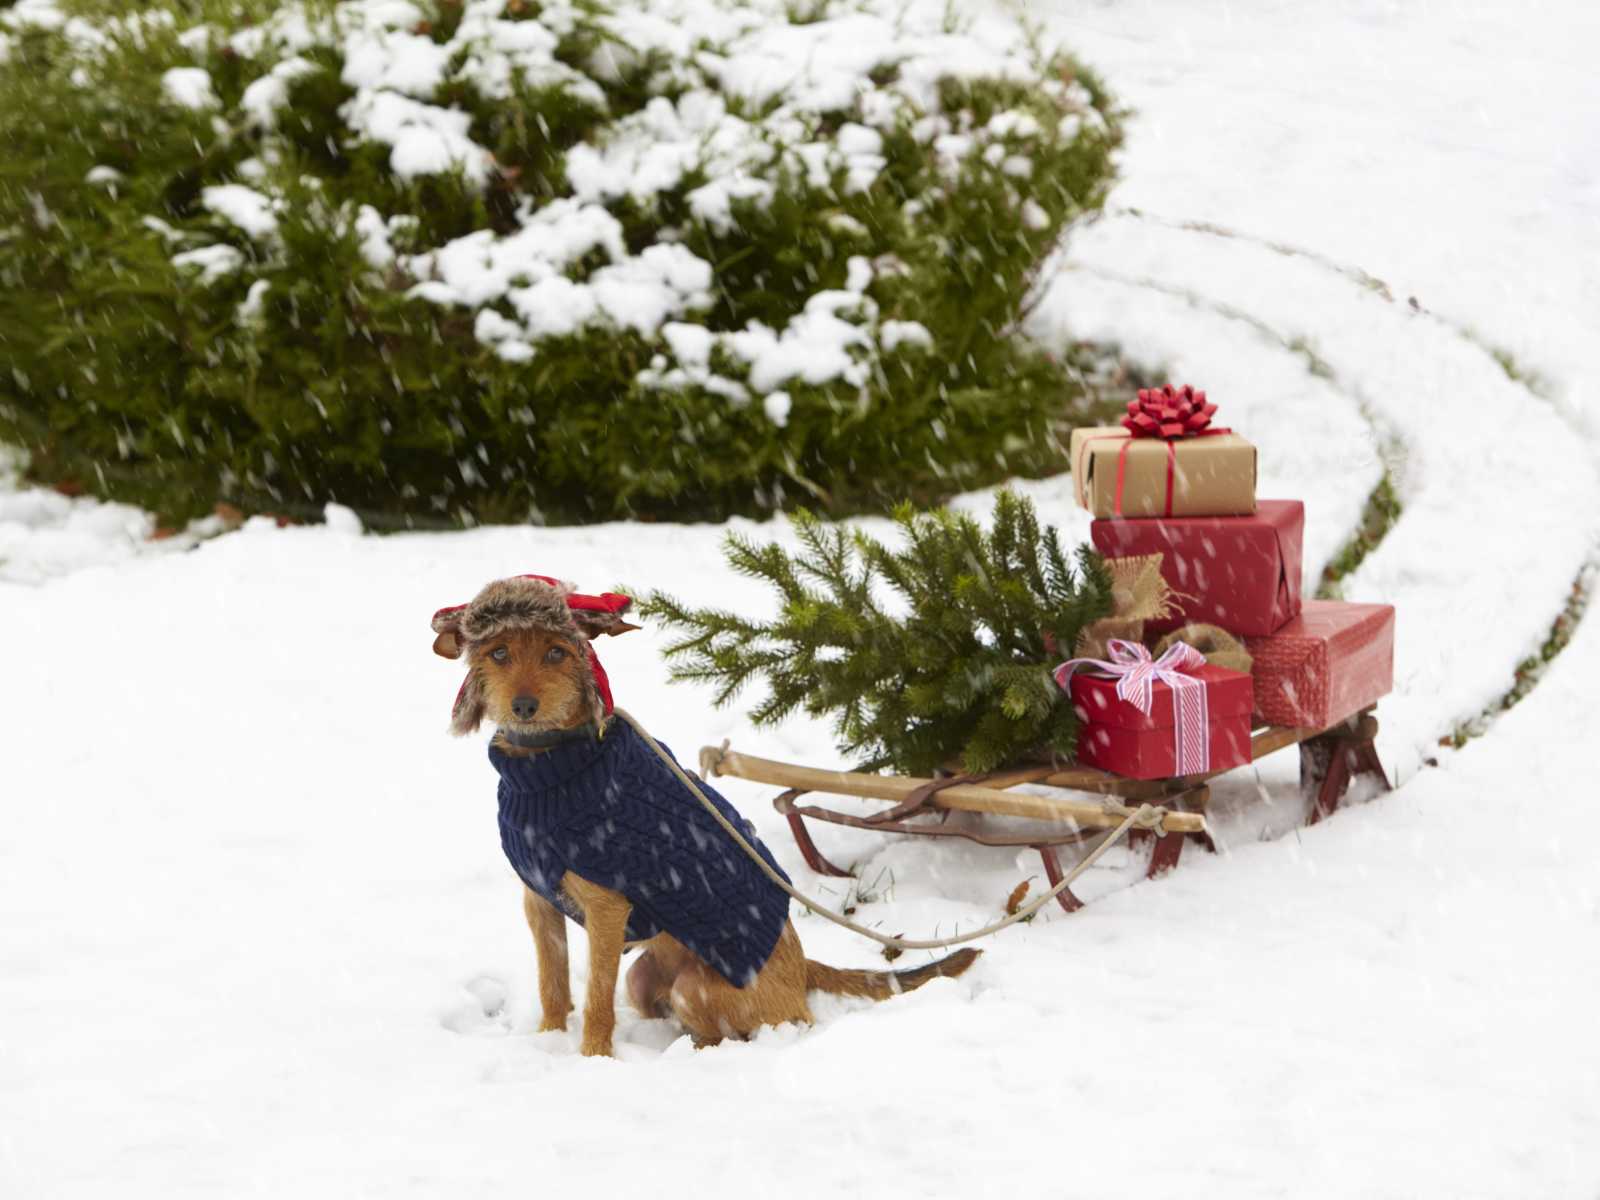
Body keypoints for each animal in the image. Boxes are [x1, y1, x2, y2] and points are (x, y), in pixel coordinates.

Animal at [435, 579, 972, 1056]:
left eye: (556, 653)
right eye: (498, 653)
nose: (523, 706)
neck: (551, 767)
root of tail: (802, 971)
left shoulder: (608, 909)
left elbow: (595, 1001)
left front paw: (593, 1059)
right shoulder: (539, 902)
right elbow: (553, 985)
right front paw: (547, 1042)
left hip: (694, 988)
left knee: (729, 1032)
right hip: (643, 977)